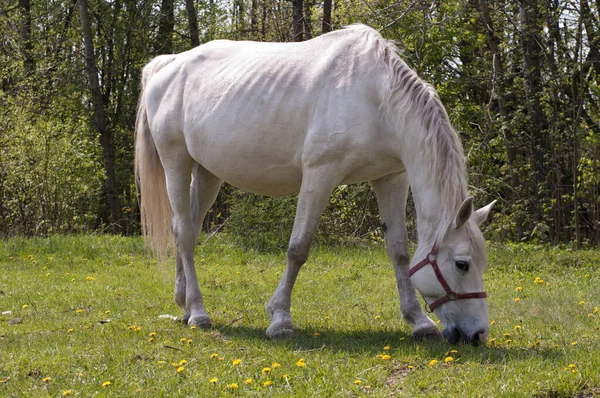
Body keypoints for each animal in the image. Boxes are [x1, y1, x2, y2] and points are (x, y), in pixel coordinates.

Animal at [136, 24, 496, 346]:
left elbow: (400, 253)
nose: (477, 335)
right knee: (184, 232)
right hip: (176, 162)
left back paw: (184, 305)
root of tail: (166, 65)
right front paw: (280, 318)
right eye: (462, 264)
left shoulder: (391, 179)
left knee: (189, 229)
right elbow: (298, 248)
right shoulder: (320, 175)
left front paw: (418, 322)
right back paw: (198, 312)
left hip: (208, 173)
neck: (376, 97)